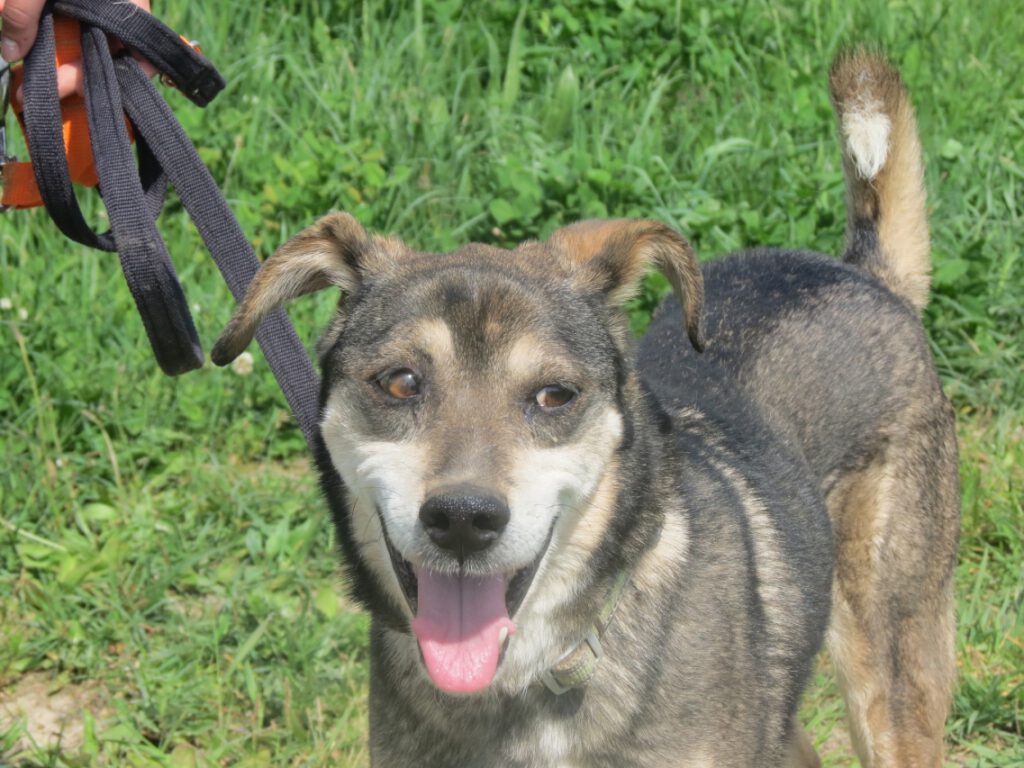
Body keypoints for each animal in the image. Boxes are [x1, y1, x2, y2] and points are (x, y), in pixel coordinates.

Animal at [209, 51, 958, 765]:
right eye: (399, 383)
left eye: (554, 395)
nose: (462, 520)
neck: (528, 684)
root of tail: (861, 270)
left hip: (890, 673)